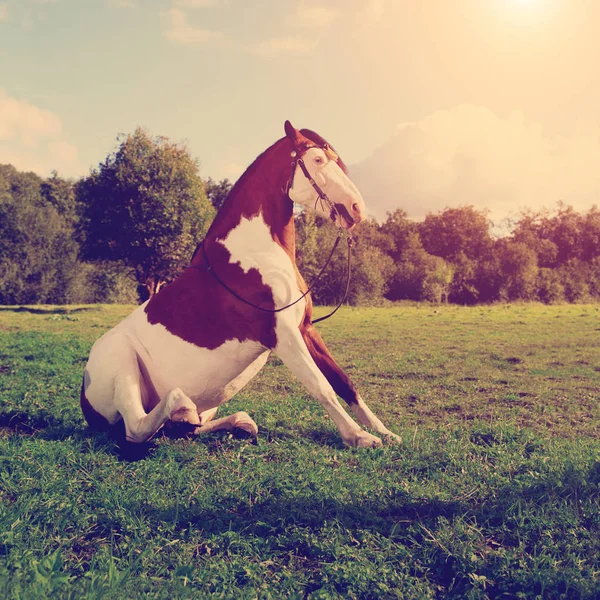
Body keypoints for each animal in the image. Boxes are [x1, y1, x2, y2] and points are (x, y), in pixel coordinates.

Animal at [79, 122, 398, 448]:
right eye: (318, 160)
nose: (356, 209)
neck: (255, 253)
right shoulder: (282, 335)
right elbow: (322, 386)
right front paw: (359, 437)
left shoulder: (305, 328)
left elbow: (344, 382)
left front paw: (384, 432)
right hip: (122, 364)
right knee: (137, 428)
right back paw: (182, 407)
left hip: (210, 400)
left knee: (189, 428)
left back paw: (238, 422)